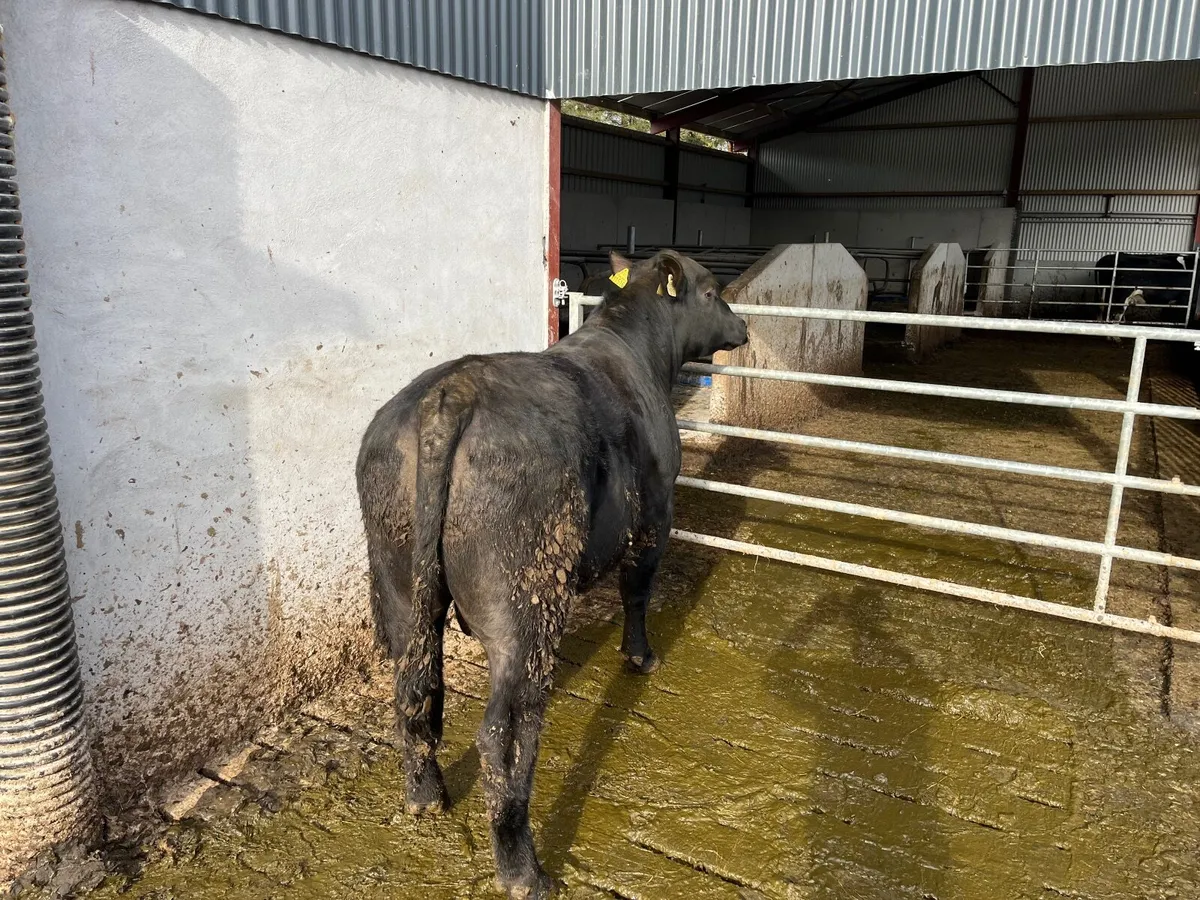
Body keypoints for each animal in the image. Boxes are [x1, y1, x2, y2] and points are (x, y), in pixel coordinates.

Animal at [356, 249, 748, 898]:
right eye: (714, 292)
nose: (743, 328)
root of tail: (451, 393)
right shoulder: (655, 517)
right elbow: (637, 591)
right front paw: (640, 655)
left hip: (400, 590)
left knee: (411, 692)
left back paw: (425, 795)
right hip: (525, 608)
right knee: (504, 735)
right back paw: (524, 869)